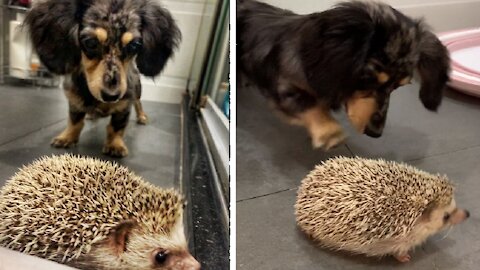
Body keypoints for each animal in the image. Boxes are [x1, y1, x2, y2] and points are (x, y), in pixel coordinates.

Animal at [23, 0, 180, 157]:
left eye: (134, 45)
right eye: (91, 42)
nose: (112, 96)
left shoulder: (124, 105)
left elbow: (117, 127)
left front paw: (115, 144)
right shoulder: (74, 100)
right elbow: (74, 121)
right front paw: (67, 137)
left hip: (137, 91)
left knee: (138, 103)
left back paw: (141, 116)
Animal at [238, 0, 452, 150]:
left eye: (398, 86)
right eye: (369, 78)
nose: (375, 133)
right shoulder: (283, 84)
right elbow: (307, 102)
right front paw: (328, 131)